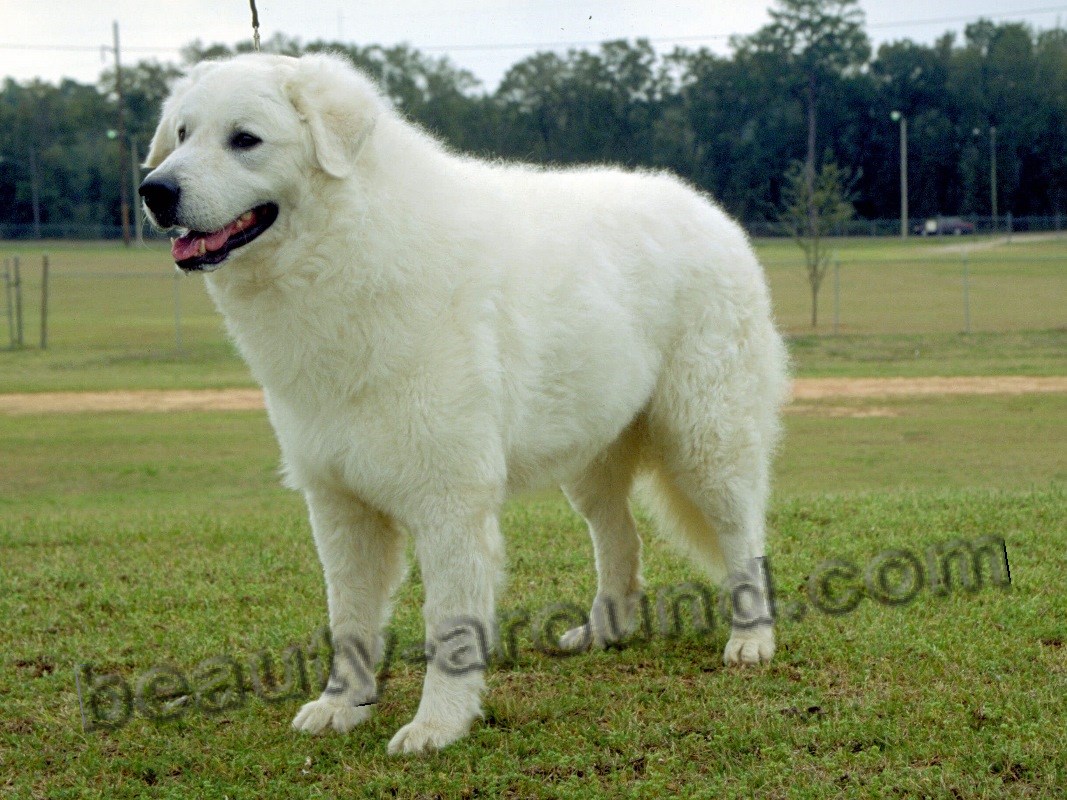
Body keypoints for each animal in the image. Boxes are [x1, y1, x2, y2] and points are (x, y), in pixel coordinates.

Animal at [139, 53, 793, 755]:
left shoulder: (449, 501)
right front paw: (343, 705)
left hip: (707, 438)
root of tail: (708, 211)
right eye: (182, 135)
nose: (154, 191)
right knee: (619, 536)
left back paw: (751, 640)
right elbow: (349, 617)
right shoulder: (339, 503)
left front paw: (437, 726)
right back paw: (603, 632)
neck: (350, 246)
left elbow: (448, 628)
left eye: (245, 140)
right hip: (590, 454)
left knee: (741, 536)